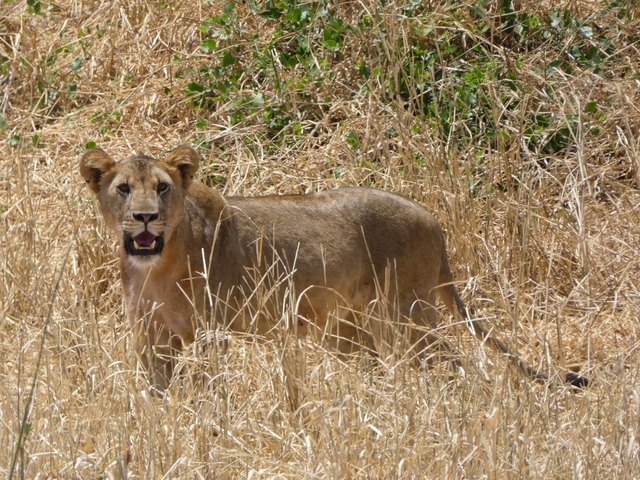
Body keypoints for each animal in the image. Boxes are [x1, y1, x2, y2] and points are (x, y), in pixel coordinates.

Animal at [80, 145, 588, 390]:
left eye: (163, 188)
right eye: (123, 188)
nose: (146, 216)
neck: (155, 267)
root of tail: (432, 219)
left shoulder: (210, 331)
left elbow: (208, 386)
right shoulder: (150, 335)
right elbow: (157, 392)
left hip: (402, 314)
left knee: (450, 358)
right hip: (347, 329)